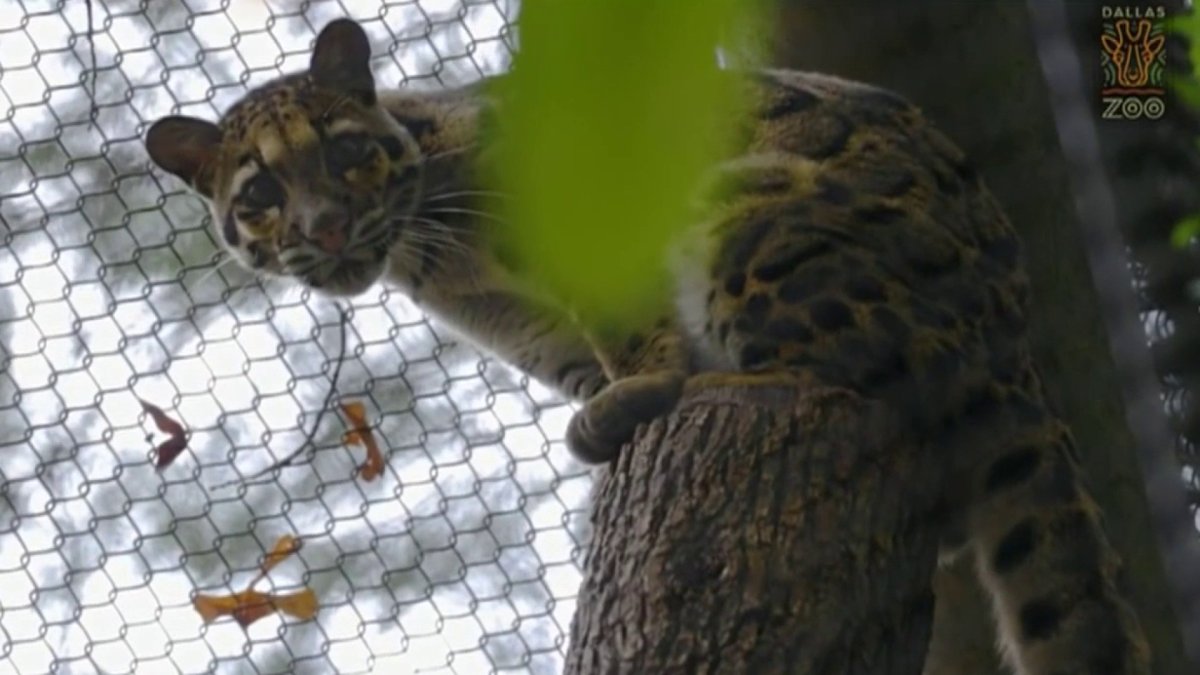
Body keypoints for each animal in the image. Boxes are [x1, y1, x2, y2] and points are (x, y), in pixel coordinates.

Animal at [144, 17, 1151, 675]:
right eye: (261, 194)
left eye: (347, 152)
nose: (323, 226)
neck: (440, 259)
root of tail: (1016, 347)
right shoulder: (529, 327)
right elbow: (590, 359)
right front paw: (614, 409)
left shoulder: (597, 239)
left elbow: (631, 333)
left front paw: (636, 395)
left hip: (750, 215)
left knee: (864, 379)